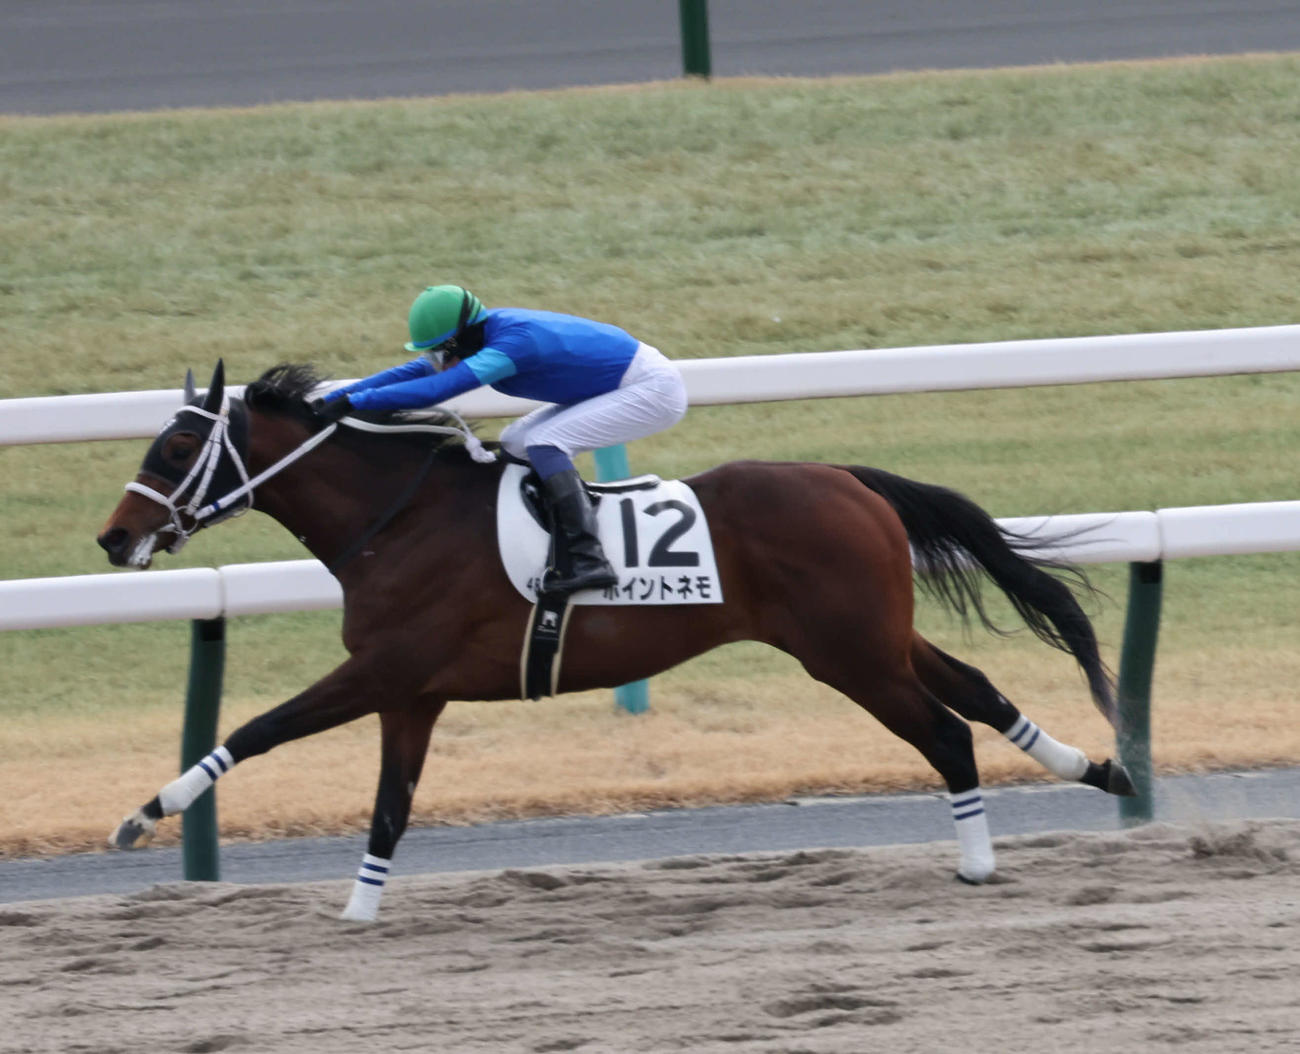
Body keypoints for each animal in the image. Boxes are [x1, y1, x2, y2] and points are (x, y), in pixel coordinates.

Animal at [96, 361, 1135, 921]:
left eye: (174, 450)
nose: (113, 537)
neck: (398, 518)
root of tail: (850, 479)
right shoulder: (412, 693)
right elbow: (390, 805)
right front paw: (358, 908)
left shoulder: (384, 668)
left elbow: (260, 728)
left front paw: (144, 814)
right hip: (873, 638)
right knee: (979, 691)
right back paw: (1099, 768)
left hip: (850, 655)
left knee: (946, 730)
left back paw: (980, 860)